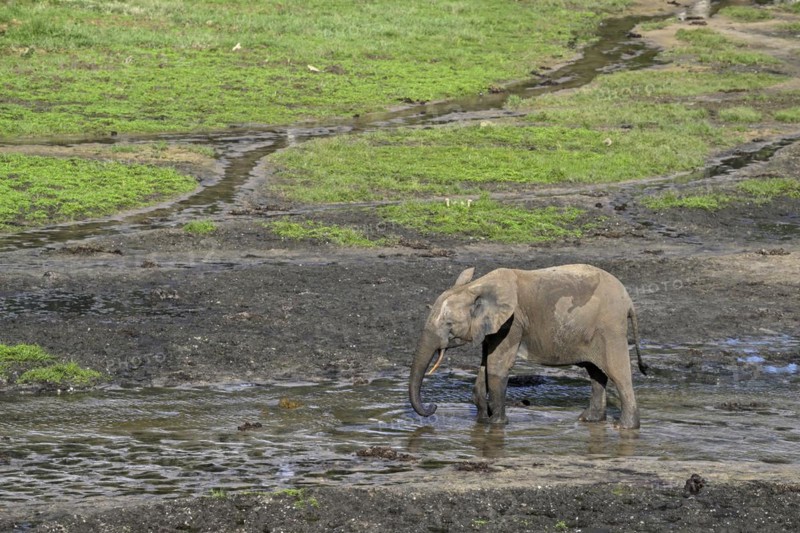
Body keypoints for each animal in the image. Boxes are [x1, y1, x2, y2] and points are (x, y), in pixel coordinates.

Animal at [408, 264, 647, 429]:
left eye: (449, 325)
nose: (433, 407)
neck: (476, 286)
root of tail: (629, 301)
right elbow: (485, 364)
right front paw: (482, 421)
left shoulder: (512, 323)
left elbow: (497, 366)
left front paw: (497, 424)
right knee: (596, 372)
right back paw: (589, 420)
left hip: (610, 328)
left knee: (617, 372)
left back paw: (623, 427)